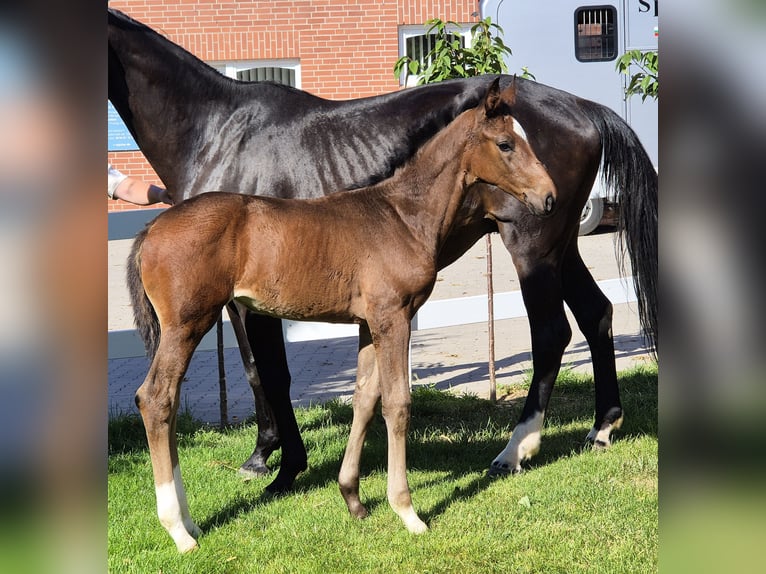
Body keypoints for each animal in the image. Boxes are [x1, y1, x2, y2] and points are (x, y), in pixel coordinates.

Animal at [109, 8, 657, 493]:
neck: (218, 130)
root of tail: (585, 108)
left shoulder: (247, 303)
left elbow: (267, 376)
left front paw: (277, 463)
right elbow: (267, 375)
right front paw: (275, 458)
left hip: (532, 247)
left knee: (551, 333)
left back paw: (516, 447)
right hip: (562, 245)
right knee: (597, 313)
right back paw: (602, 426)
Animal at [128, 79, 556, 551]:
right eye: (505, 144)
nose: (549, 197)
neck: (402, 215)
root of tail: (152, 228)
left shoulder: (369, 324)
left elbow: (364, 400)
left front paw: (352, 497)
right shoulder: (392, 318)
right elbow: (397, 404)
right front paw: (408, 512)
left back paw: (190, 523)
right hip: (187, 324)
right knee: (156, 399)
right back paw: (178, 530)